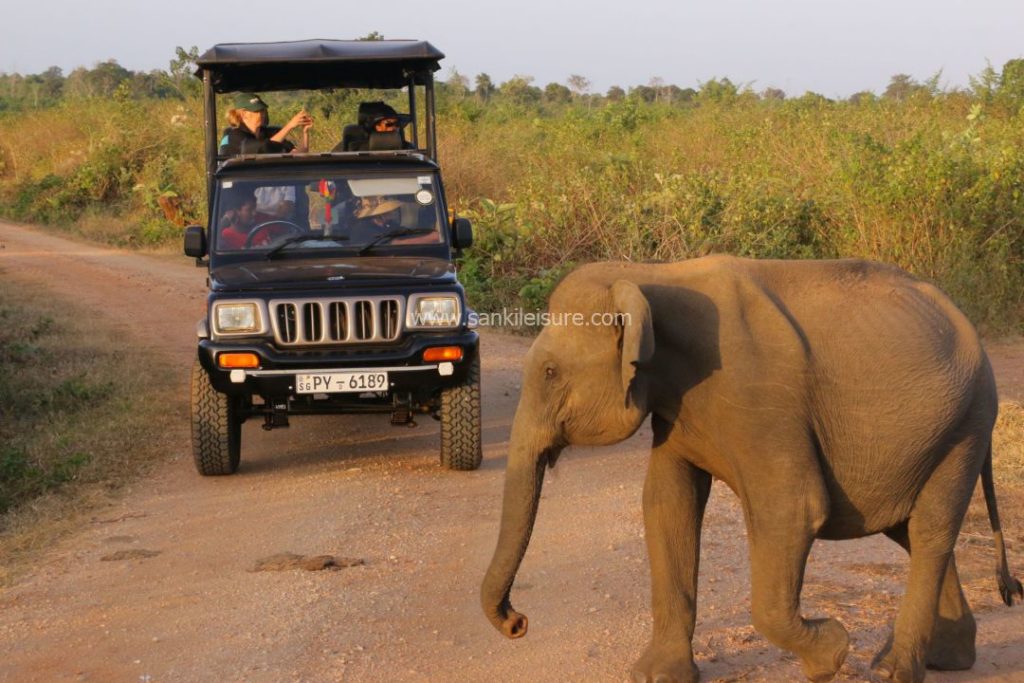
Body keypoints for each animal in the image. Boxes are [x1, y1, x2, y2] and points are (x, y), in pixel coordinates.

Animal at [481, 255, 1024, 683]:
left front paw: (832, 654)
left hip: (966, 426)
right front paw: (657, 676)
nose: (518, 622)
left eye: (550, 373)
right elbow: (667, 503)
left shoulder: (761, 399)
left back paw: (891, 671)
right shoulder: (678, 409)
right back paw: (944, 658)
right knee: (910, 530)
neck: (650, 275)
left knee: (929, 530)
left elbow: (793, 509)